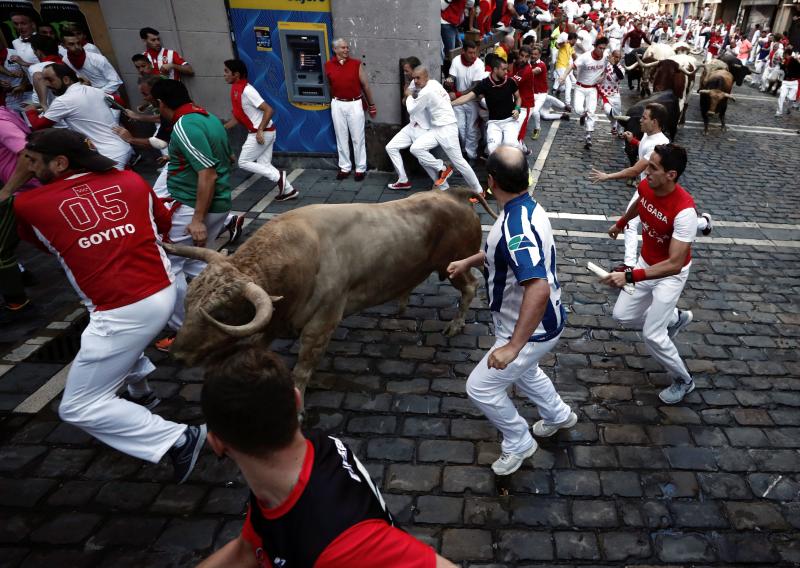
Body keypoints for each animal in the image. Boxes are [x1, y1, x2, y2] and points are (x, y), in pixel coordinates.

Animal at [164, 190, 482, 400]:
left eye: (221, 313)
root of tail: (454, 195)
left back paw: (455, 325)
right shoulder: (274, 321)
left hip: (454, 265)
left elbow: (303, 369)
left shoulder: (321, 323)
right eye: (187, 302)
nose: (177, 355)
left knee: (471, 286)